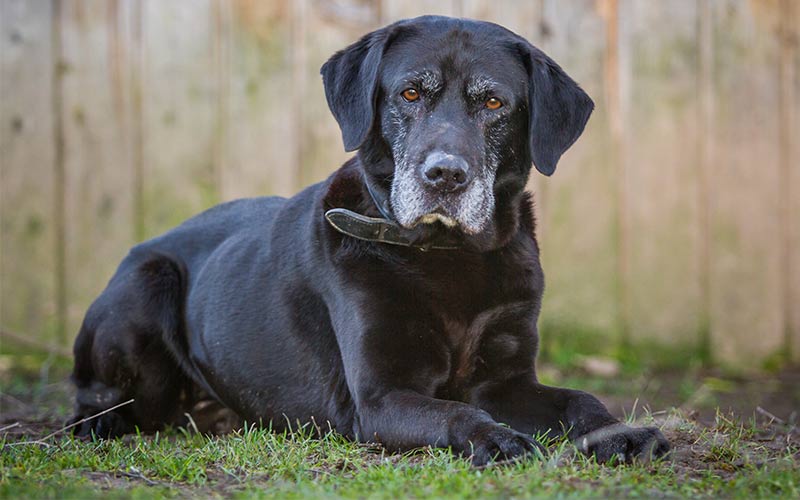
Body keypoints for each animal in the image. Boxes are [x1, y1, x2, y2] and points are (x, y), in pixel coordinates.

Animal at [69, 17, 668, 466]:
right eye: (410, 92)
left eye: (494, 104)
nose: (445, 176)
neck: (447, 255)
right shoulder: (380, 399)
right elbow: (455, 412)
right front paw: (496, 438)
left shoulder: (506, 382)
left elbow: (579, 399)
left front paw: (621, 433)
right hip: (147, 286)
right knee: (94, 404)